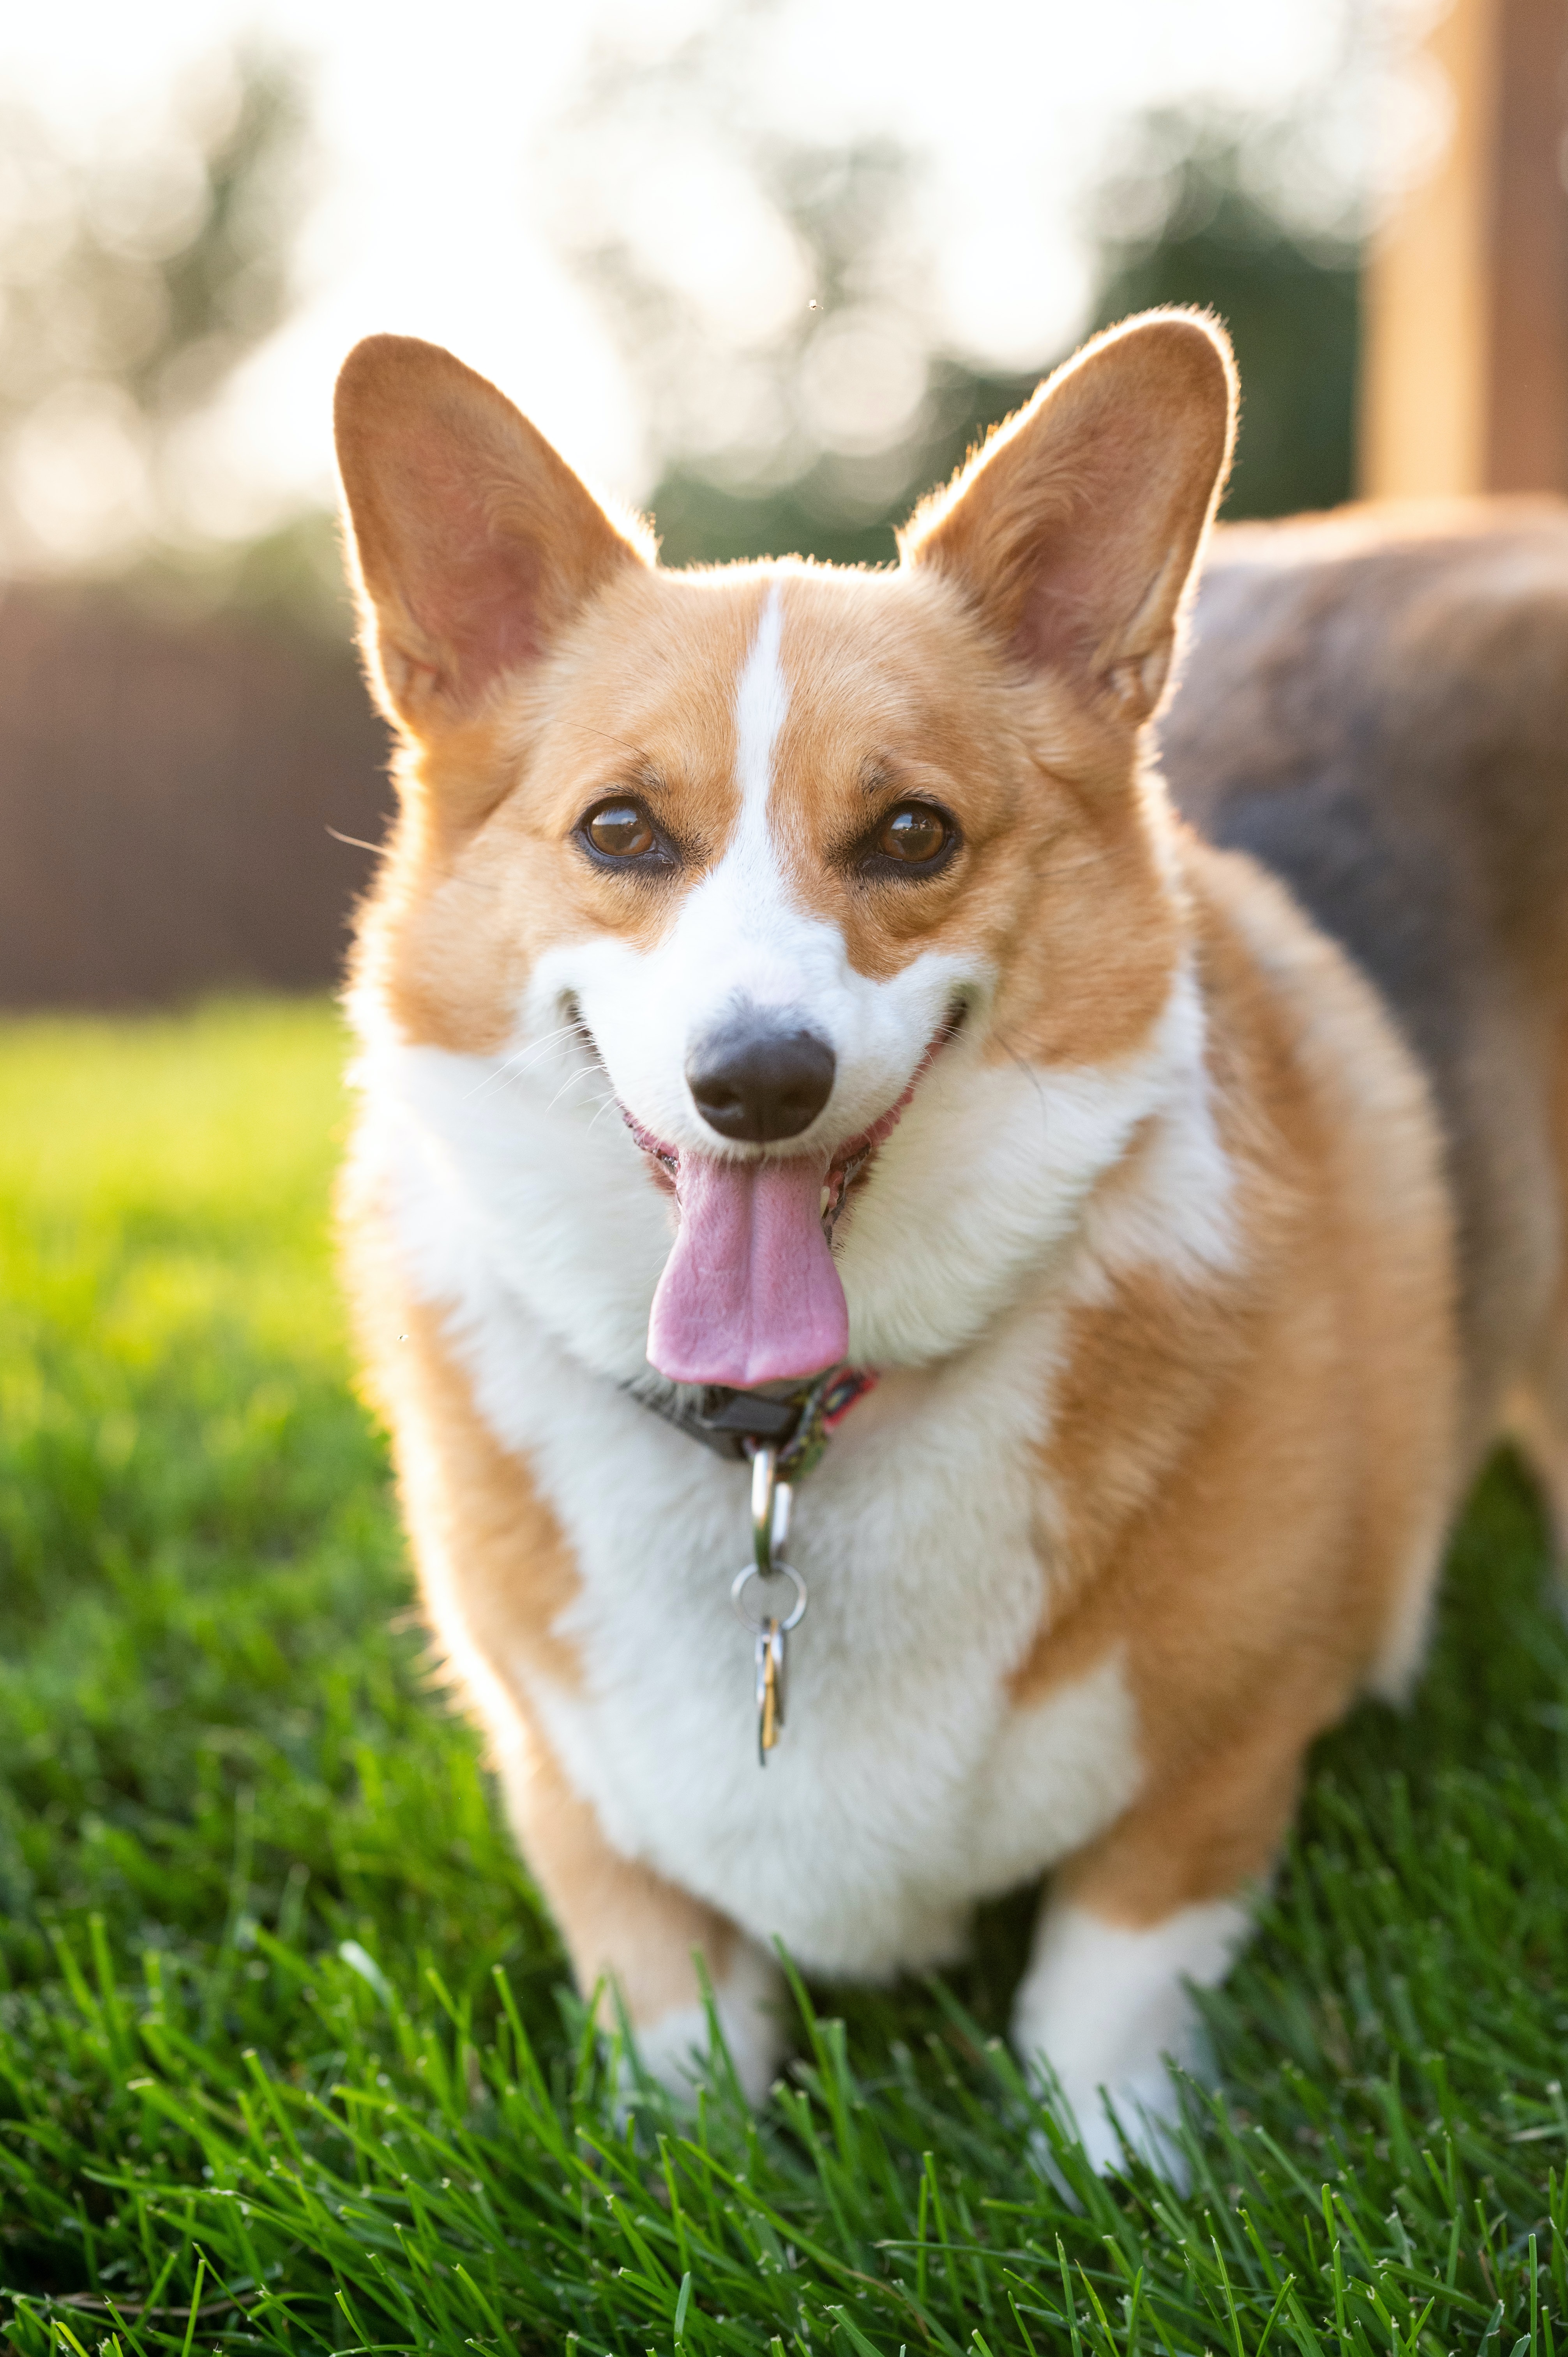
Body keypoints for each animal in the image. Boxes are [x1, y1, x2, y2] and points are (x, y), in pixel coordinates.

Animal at [332, 313, 1565, 2168]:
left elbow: (1102, 1991)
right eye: (620, 829)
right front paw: (678, 2165)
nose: (758, 1080)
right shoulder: (570, 1790)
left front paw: (1107, 2175)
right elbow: (664, 2009)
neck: (782, 1449)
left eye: (910, 832)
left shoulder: (1209, 1775)